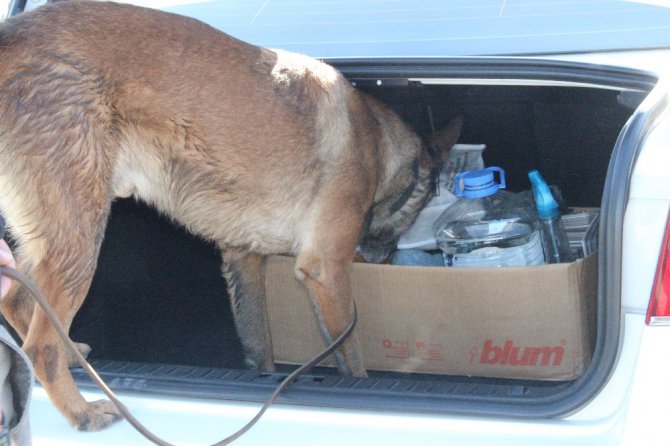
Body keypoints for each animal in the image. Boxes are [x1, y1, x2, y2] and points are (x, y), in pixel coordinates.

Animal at [0, 0, 462, 432]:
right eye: (418, 208)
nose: (389, 259)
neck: (381, 147)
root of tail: (14, 35)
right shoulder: (327, 271)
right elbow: (349, 354)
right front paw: (357, 383)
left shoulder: (245, 260)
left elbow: (261, 345)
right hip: (81, 234)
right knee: (40, 345)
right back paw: (82, 411)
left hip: (55, 234)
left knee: (18, 301)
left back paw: (72, 355)